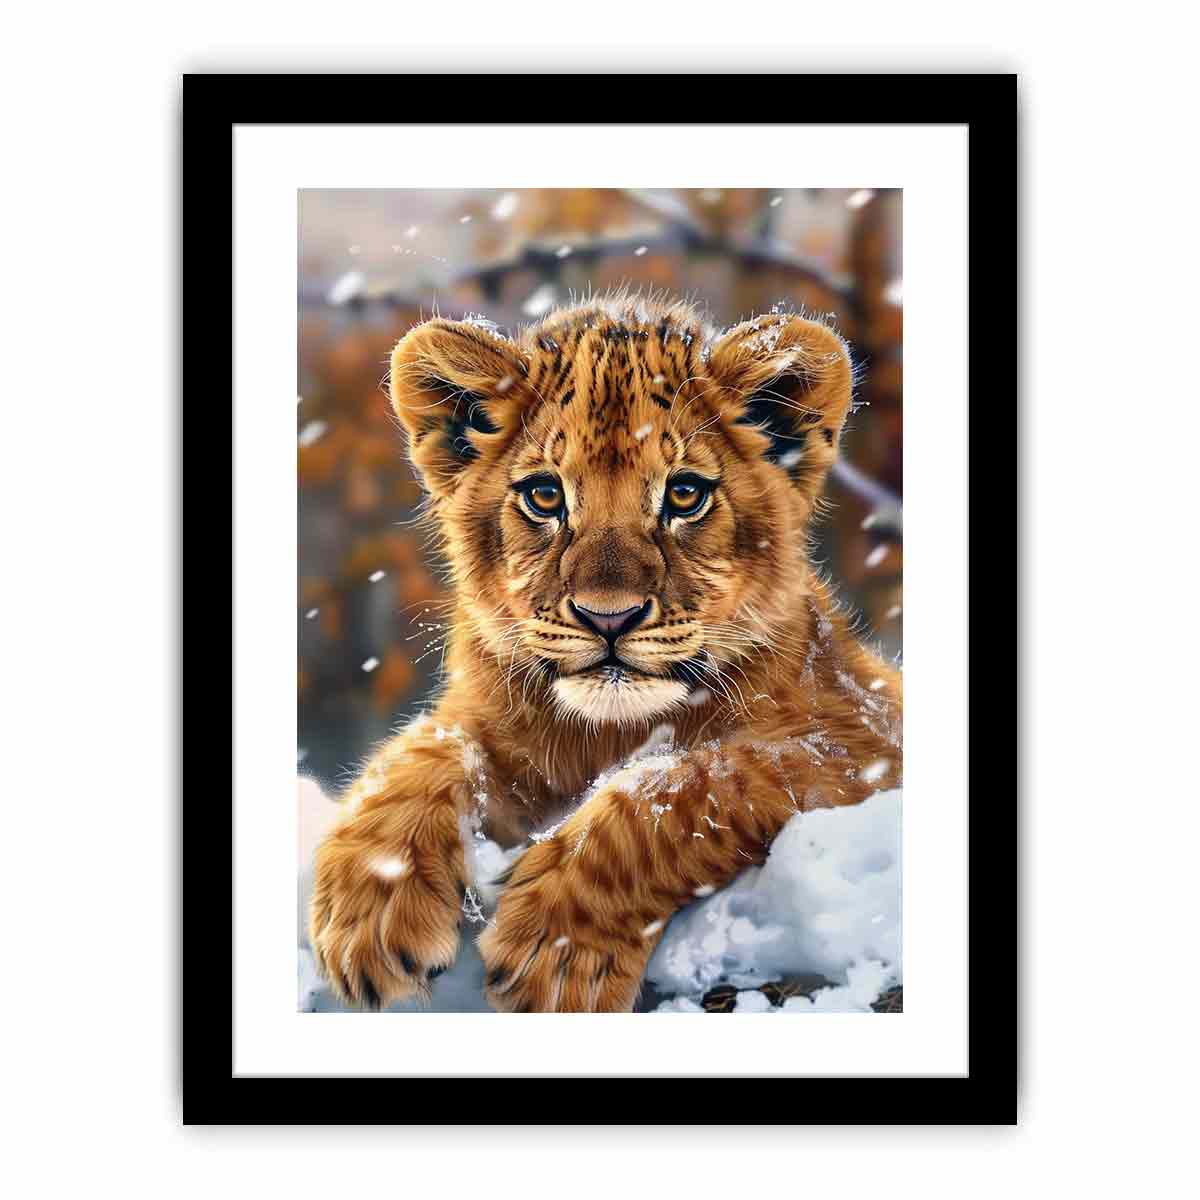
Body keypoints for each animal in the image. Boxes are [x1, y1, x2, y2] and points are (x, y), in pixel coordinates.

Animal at [308, 293, 902, 1012]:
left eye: (685, 494)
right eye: (544, 496)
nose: (608, 617)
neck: (607, 734)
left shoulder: (865, 738)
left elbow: (692, 780)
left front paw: (556, 945)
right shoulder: (486, 719)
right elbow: (423, 749)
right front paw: (370, 910)